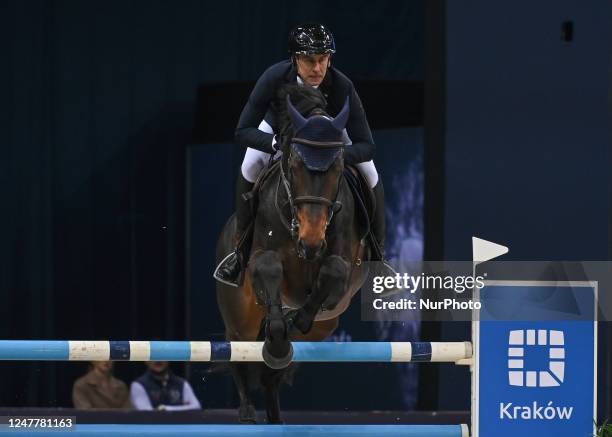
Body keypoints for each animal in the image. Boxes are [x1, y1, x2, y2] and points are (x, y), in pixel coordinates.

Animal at [215, 84, 368, 422]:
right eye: (296, 167)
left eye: (337, 168)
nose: (311, 241)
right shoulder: (262, 258)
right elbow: (270, 268)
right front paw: (278, 337)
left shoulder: (344, 272)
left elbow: (333, 272)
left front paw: (296, 319)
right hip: (240, 317)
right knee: (239, 353)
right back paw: (247, 411)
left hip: (326, 327)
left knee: (272, 371)